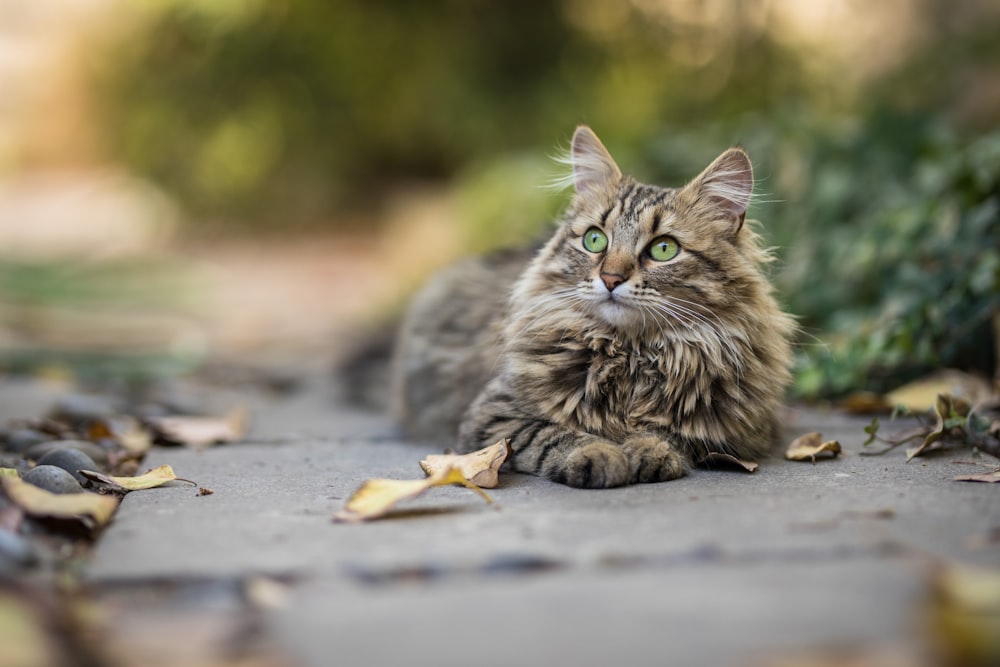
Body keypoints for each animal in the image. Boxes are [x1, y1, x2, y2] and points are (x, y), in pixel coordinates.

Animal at [388, 126, 788, 490]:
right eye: (595, 240)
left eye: (664, 249)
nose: (611, 278)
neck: (631, 354)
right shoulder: (492, 419)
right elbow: (552, 434)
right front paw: (597, 455)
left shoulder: (735, 431)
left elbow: (668, 433)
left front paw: (647, 451)